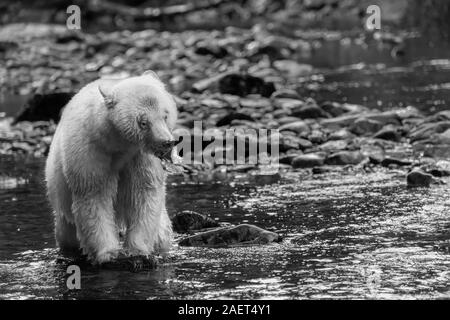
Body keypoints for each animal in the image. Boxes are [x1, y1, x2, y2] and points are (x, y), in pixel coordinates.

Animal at [44, 72, 177, 264]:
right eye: (143, 122)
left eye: (165, 115)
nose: (167, 142)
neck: (118, 144)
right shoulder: (89, 152)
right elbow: (94, 196)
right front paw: (109, 253)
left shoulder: (140, 157)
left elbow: (144, 193)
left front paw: (138, 251)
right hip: (61, 199)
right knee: (67, 233)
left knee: (162, 232)